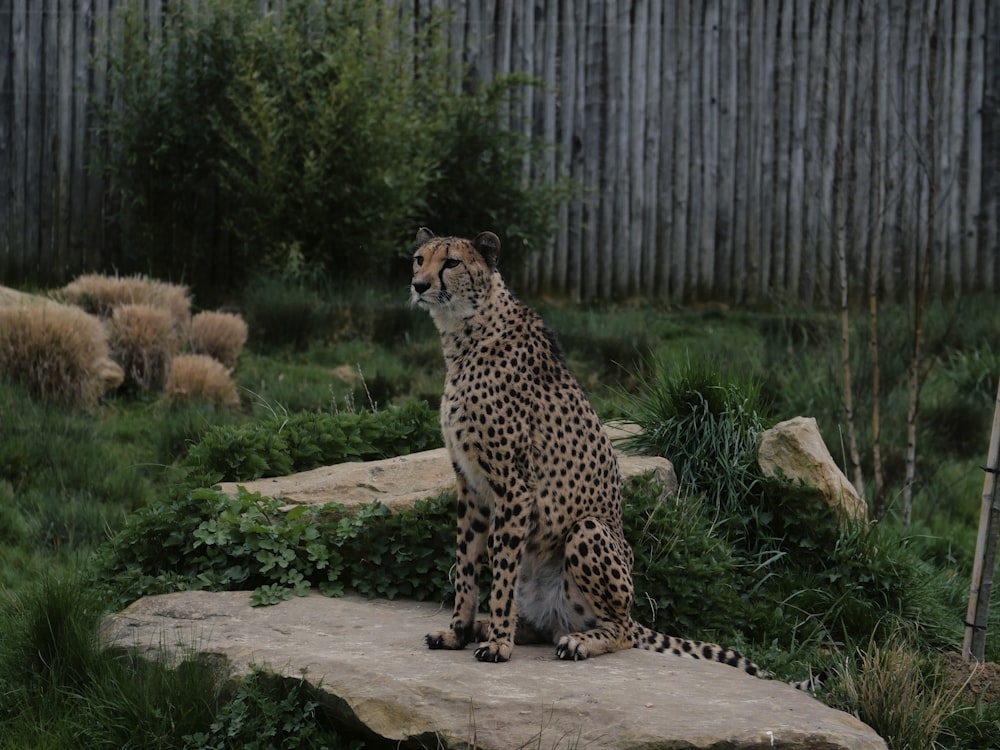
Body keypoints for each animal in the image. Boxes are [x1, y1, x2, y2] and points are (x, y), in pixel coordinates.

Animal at [410, 228, 816, 688]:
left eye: (452, 263)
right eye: (419, 259)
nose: (419, 285)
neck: (466, 332)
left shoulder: (514, 487)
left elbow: (501, 573)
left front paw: (497, 644)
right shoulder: (472, 485)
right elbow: (465, 565)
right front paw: (458, 632)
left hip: (590, 532)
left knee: (618, 630)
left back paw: (576, 641)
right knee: (544, 625)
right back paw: (503, 627)